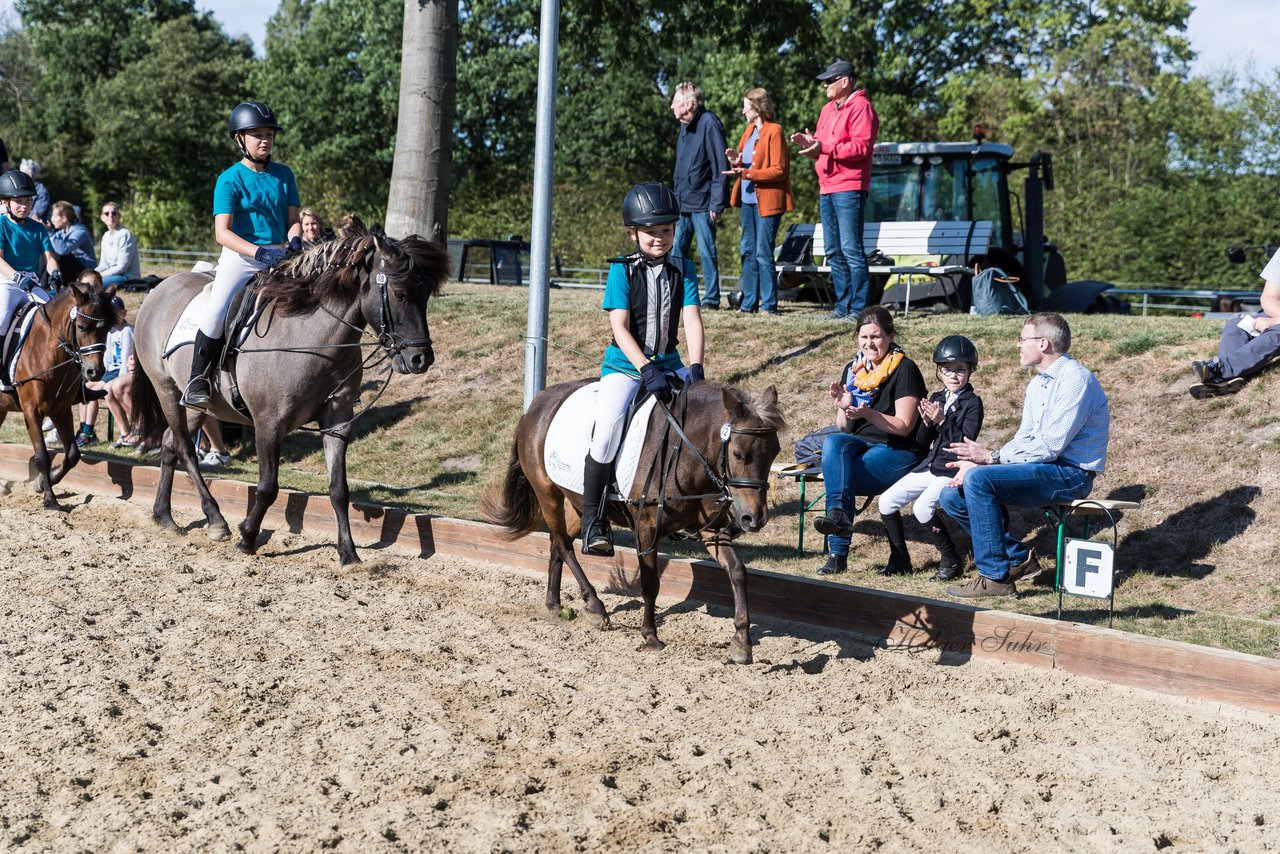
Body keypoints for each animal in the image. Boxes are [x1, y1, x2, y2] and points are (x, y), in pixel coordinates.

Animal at [0, 280, 113, 507]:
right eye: (81, 327)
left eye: (107, 329)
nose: (94, 372)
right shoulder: (32, 411)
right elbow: (42, 456)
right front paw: (50, 500)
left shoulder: (61, 410)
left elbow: (72, 455)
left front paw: (43, 483)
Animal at [483, 376, 783, 665]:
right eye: (738, 454)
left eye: (775, 453)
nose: (754, 519)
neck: (687, 453)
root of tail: (539, 402)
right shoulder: (647, 529)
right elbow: (650, 584)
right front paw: (650, 636)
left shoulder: (713, 530)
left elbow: (737, 572)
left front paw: (741, 643)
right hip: (548, 493)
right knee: (563, 544)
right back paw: (594, 606)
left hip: (580, 506)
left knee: (559, 542)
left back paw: (555, 604)